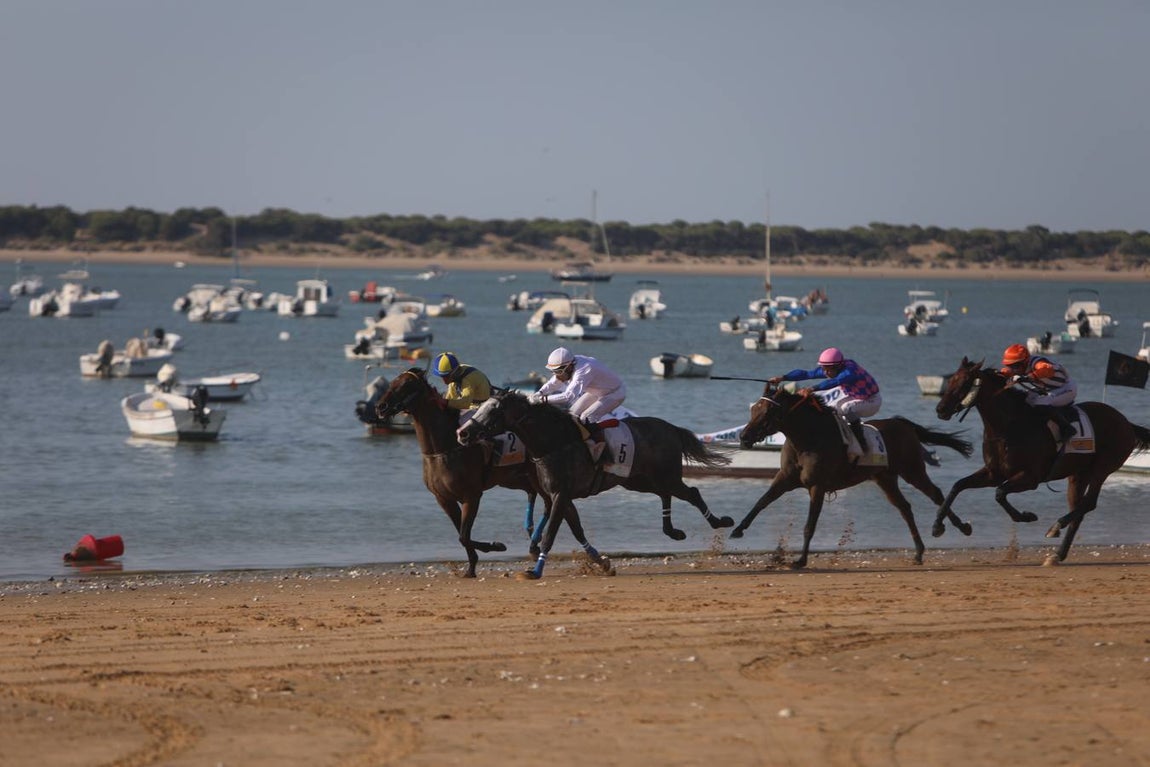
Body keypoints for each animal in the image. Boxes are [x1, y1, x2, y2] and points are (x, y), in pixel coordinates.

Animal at [371, 368, 610, 578]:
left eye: (407, 385)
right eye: (392, 382)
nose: (380, 407)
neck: (444, 448)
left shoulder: (472, 495)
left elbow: (464, 535)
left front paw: (494, 547)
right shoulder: (444, 499)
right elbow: (461, 533)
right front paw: (471, 567)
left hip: (536, 478)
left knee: (550, 504)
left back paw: (535, 544)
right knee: (547, 503)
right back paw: (534, 543)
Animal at [456, 389, 733, 579]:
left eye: (493, 411)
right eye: (479, 407)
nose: (462, 433)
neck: (554, 443)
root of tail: (672, 428)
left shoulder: (560, 495)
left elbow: (550, 535)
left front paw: (535, 571)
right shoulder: (563, 496)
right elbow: (578, 530)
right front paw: (602, 563)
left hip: (664, 476)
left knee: (692, 493)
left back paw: (720, 521)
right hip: (638, 480)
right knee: (666, 495)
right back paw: (673, 531)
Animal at [729, 383, 974, 569]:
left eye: (767, 412)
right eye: (753, 410)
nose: (744, 437)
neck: (808, 437)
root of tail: (904, 425)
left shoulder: (817, 486)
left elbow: (810, 525)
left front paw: (800, 560)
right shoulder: (785, 479)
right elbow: (762, 501)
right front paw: (737, 529)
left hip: (912, 470)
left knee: (935, 494)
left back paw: (957, 527)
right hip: (885, 478)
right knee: (905, 507)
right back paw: (919, 552)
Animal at [933, 357, 1150, 563]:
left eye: (964, 383)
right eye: (950, 380)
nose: (940, 409)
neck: (1009, 426)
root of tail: (1126, 423)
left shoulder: (1030, 478)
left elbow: (1000, 493)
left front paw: (1025, 516)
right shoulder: (994, 473)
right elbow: (958, 486)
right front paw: (939, 526)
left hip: (1102, 468)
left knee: (1089, 503)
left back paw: (1056, 526)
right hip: (1078, 475)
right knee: (1079, 510)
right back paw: (1058, 554)